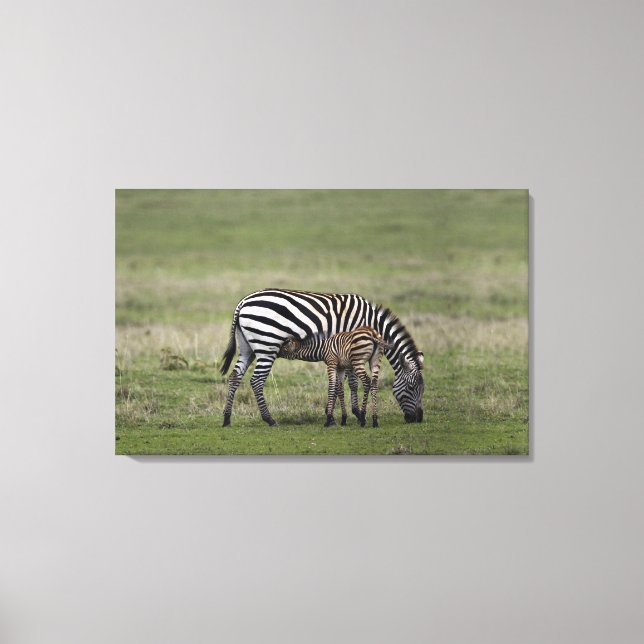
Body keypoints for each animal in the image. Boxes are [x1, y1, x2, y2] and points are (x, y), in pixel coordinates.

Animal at [220, 289, 425, 427]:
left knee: (235, 376)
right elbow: (352, 382)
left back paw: (227, 418)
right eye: (412, 388)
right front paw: (357, 413)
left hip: (247, 347)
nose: (418, 419)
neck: (371, 321)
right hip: (267, 344)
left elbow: (342, 382)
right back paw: (269, 419)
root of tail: (243, 302)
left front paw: (336, 414)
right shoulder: (350, 344)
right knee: (256, 380)